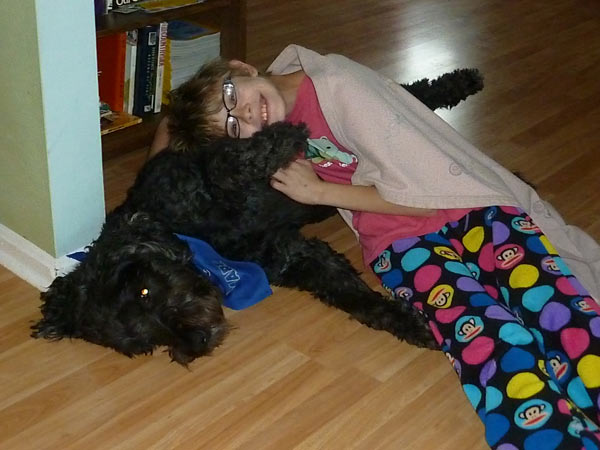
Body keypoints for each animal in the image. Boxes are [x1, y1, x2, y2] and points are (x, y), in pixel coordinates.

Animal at [30, 70, 486, 366]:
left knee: (412, 93)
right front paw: (408, 324)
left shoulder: (191, 168)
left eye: (143, 291)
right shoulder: (290, 255)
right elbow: (354, 297)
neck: (190, 235)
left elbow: (224, 163)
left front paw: (286, 135)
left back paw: (462, 81)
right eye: (144, 342)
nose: (195, 340)